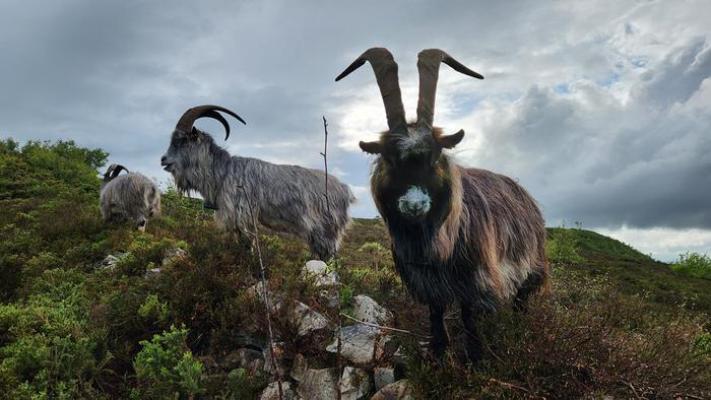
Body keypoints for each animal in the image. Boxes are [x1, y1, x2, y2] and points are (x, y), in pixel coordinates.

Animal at [160, 105, 355, 260]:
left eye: (181, 140)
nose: (163, 160)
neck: (224, 172)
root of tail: (345, 191)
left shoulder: (241, 213)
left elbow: (247, 242)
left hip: (326, 229)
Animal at [336, 48, 548, 363]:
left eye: (435, 157)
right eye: (389, 157)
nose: (414, 205)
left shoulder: (474, 277)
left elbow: (469, 315)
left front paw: (475, 357)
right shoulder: (425, 280)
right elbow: (436, 312)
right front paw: (438, 351)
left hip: (531, 266)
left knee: (521, 300)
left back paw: (517, 328)